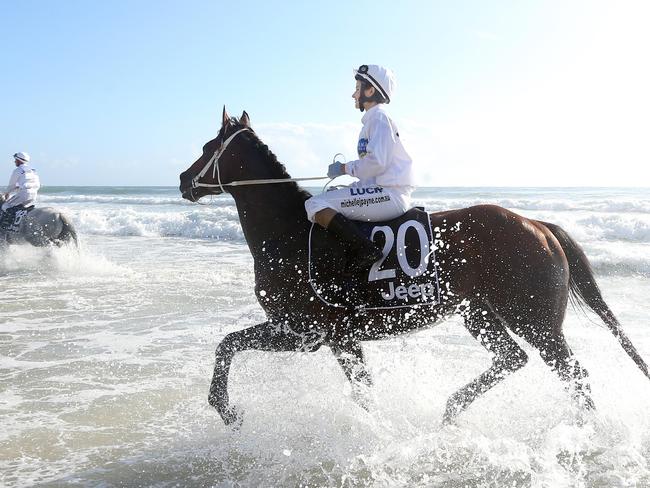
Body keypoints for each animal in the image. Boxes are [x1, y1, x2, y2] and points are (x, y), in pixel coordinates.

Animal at [177, 107, 648, 428]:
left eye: (206, 148)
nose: (182, 181)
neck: (289, 233)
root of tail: (538, 225)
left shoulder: (307, 332)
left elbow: (229, 346)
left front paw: (227, 410)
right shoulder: (316, 336)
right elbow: (229, 345)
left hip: (534, 319)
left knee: (574, 374)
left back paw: (584, 429)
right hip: (480, 314)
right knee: (513, 359)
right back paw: (451, 410)